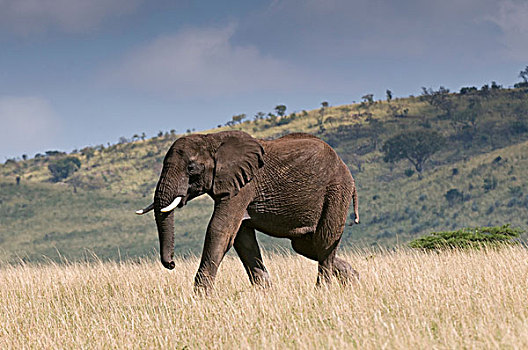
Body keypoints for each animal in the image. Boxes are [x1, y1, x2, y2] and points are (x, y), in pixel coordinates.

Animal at [136, 131, 358, 292]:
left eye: (191, 168)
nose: (172, 264)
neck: (212, 139)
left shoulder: (244, 186)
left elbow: (220, 230)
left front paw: (201, 296)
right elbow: (242, 239)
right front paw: (265, 293)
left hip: (337, 190)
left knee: (325, 239)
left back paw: (322, 291)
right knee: (305, 245)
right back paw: (354, 280)